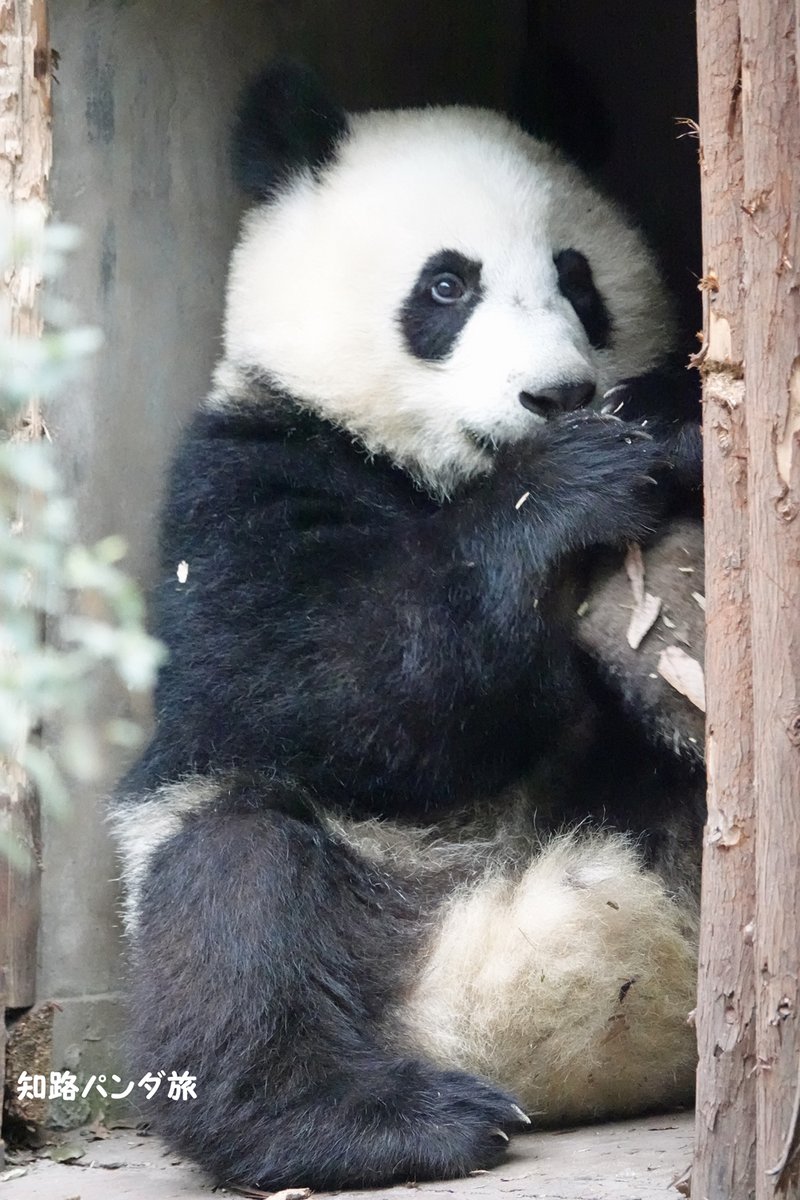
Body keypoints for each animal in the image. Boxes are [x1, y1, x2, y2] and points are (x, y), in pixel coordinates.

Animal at [111, 62, 704, 1193]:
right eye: (445, 287)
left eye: (577, 279)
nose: (557, 394)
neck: (434, 473)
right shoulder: (241, 475)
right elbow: (334, 679)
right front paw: (568, 486)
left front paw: (664, 428)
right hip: (341, 876)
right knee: (234, 904)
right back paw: (380, 1125)